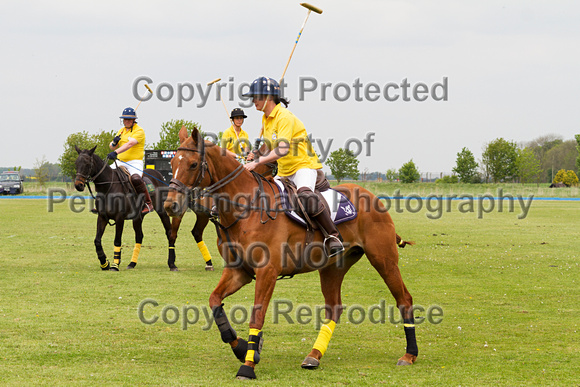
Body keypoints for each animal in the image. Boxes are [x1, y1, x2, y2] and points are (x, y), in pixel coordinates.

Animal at [73, 147, 214, 272]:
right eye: (76, 163)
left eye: (87, 163)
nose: (78, 185)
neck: (108, 187)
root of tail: (158, 175)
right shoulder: (102, 217)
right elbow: (97, 240)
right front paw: (104, 263)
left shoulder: (119, 218)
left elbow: (117, 240)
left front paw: (114, 265)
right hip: (138, 216)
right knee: (139, 236)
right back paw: (132, 263)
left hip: (163, 211)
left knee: (169, 232)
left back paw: (172, 264)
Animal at [163, 129, 416, 380]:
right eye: (172, 162)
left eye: (193, 164)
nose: (170, 205)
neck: (246, 209)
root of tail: (372, 196)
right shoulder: (239, 271)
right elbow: (214, 301)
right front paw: (243, 348)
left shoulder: (267, 271)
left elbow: (257, 316)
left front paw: (247, 366)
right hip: (333, 267)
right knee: (334, 308)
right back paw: (314, 355)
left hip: (383, 259)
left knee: (404, 299)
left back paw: (409, 355)